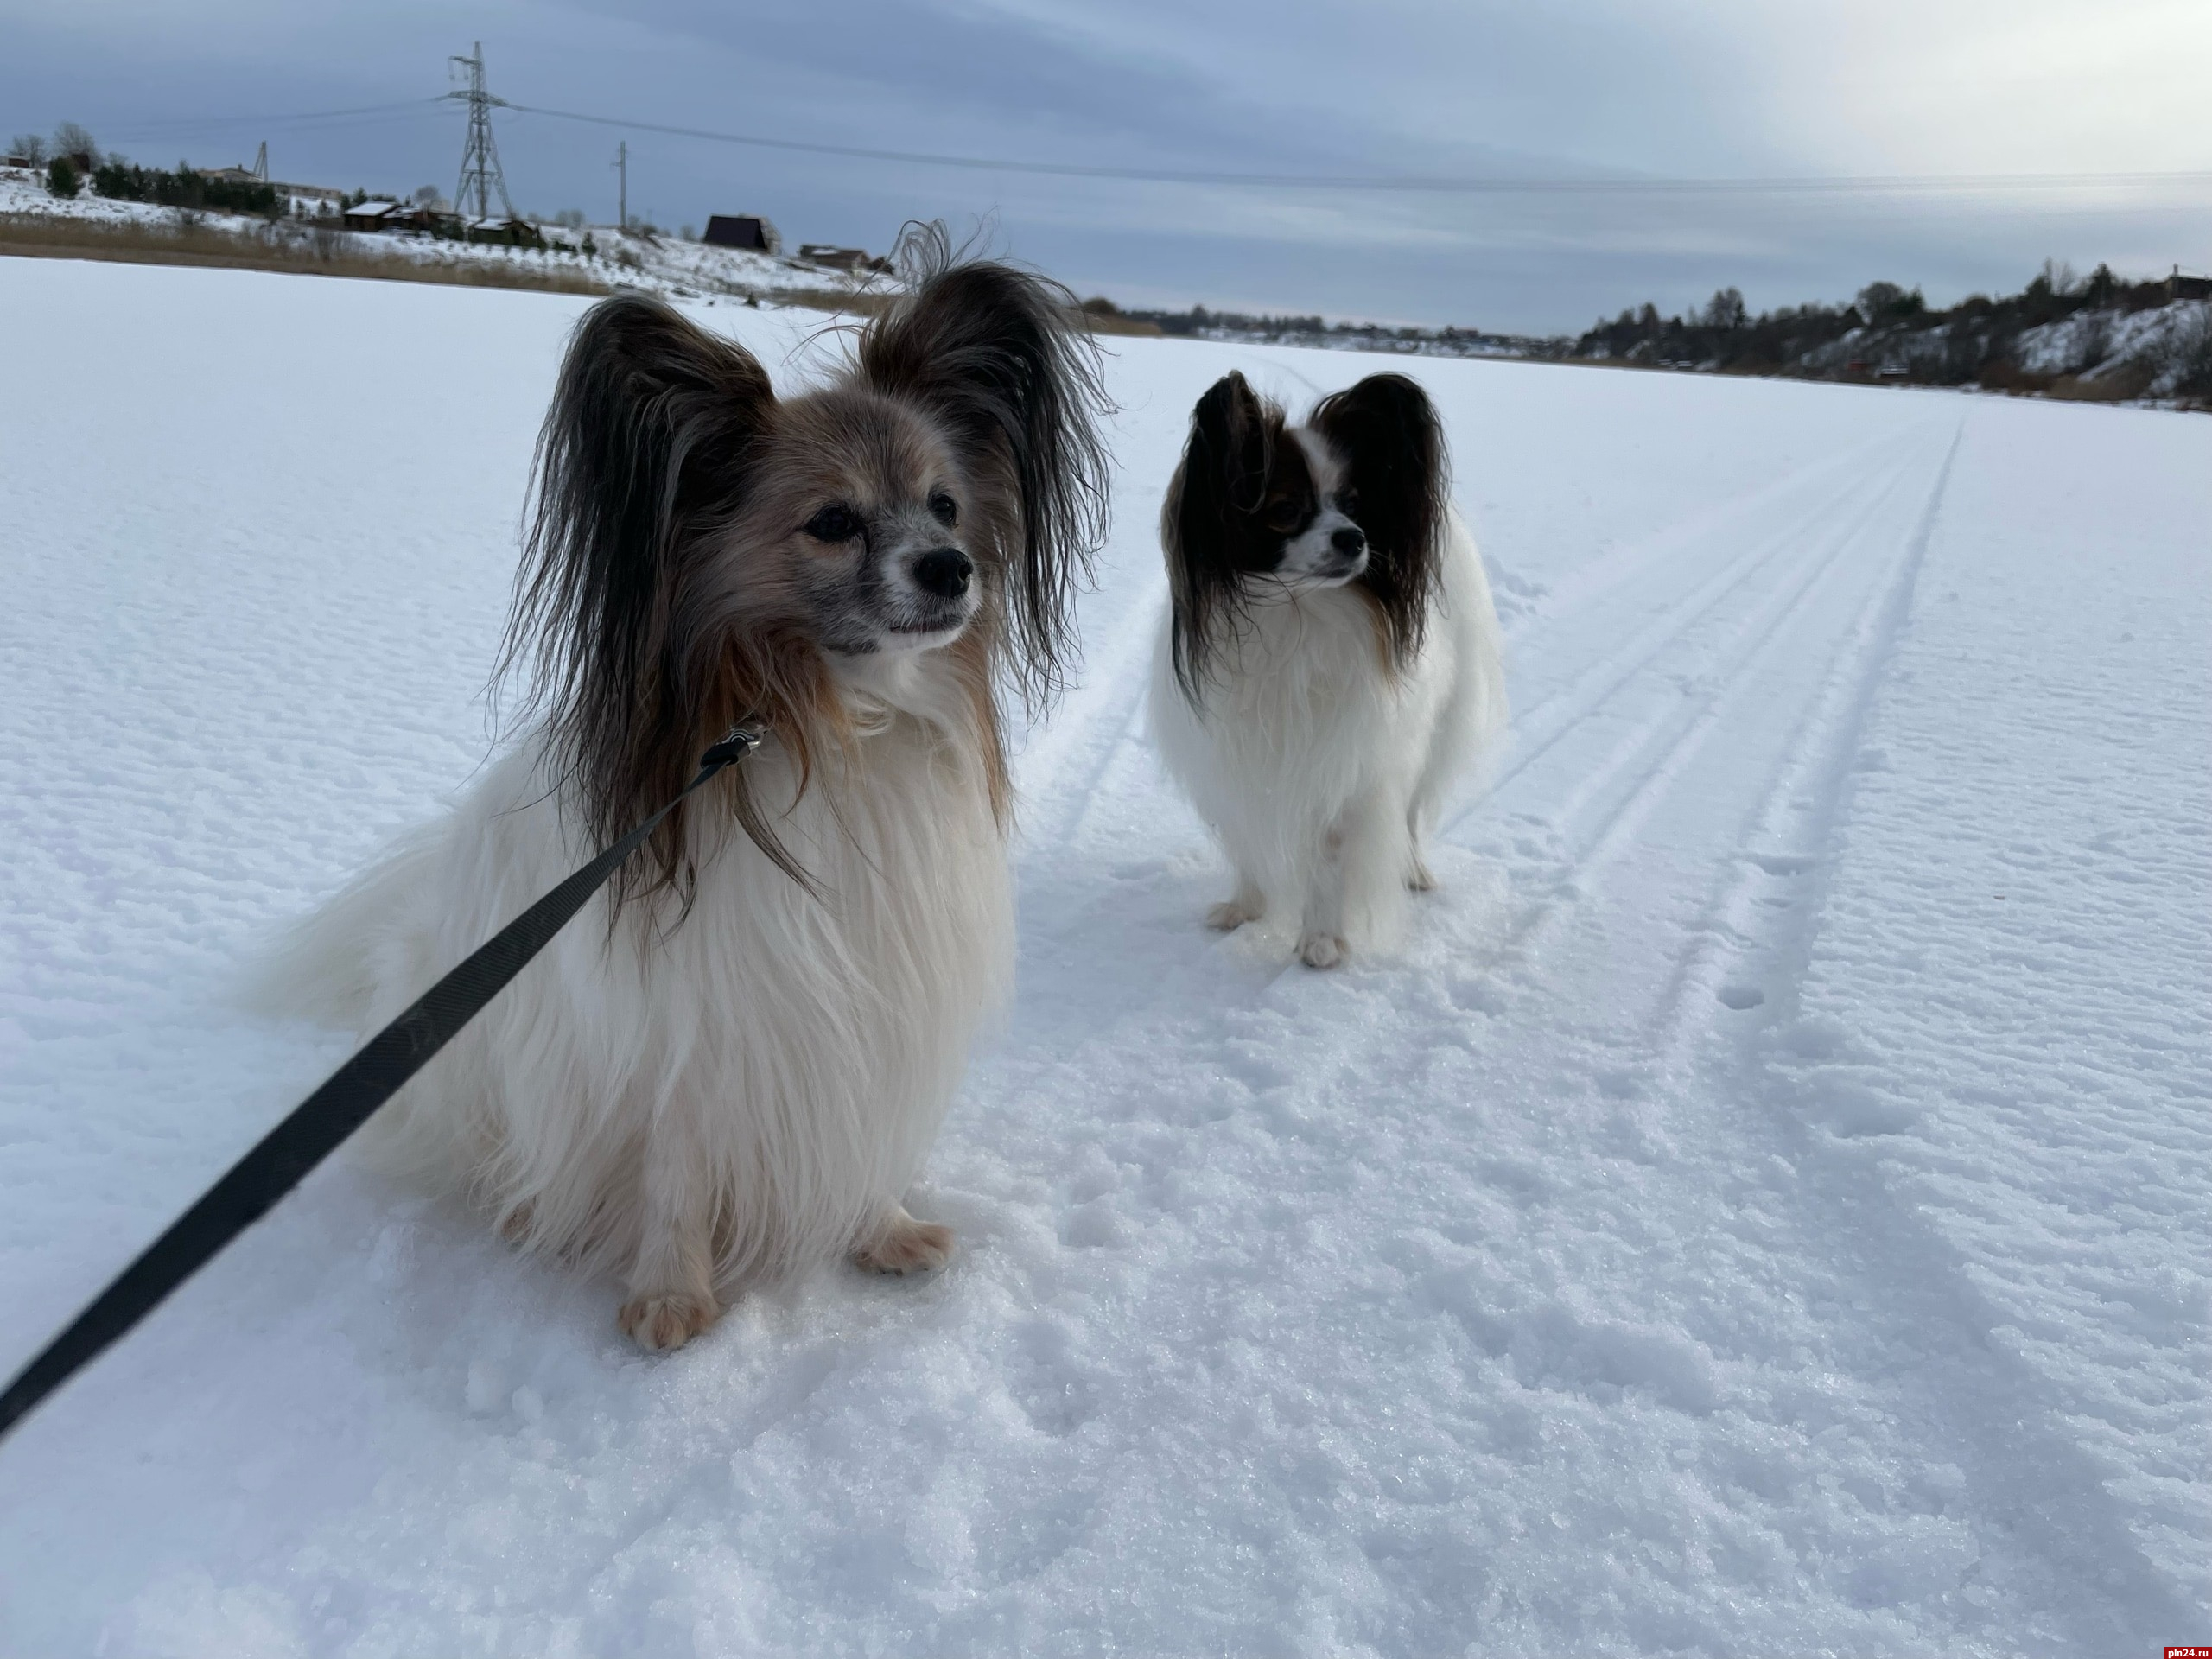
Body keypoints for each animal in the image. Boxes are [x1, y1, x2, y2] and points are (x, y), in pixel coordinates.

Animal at [270, 227, 1115, 1353]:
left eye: (945, 504)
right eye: (832, 522)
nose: (949, 568)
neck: (832, 723)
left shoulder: (864, 1006)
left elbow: (859, 1138)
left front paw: (880, 1227)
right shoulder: (689, 1027)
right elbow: (675, 1171)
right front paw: (670, 1294)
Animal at [1150, 369, 1513, 969]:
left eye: (1355, 506)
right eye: (1284, 510)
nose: (1354, 538)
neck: (1297, 615)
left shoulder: (1344, 764)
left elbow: (1330, 857)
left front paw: (1322, 940)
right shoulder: (1237, 755)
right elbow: (1246, 835)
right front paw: (1245, 906)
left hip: (1427, 737)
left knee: (1410, 813)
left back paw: (1412, 870)